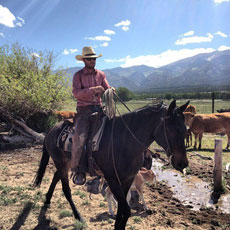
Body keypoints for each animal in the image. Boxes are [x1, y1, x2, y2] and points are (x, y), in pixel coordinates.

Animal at [33, 99, 190, 229]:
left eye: (185, 130)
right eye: (171, 129)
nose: (183, 163)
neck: (124, 141)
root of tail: (52, 129)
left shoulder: (127, 179)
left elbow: (122, 208)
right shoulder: (112, 179)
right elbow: (126, 209)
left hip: (65, 164)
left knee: (55, 176)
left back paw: (47, 200)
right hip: (60, 162)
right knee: (66, 189)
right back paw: (78, 216)